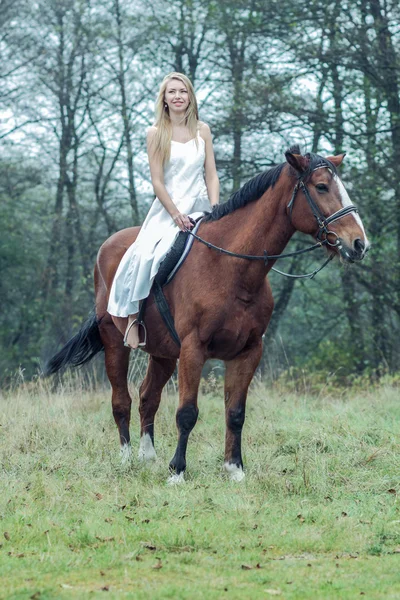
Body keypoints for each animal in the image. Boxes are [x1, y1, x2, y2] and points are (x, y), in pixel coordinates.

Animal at [46, 148, 368, 486]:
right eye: (321, 187)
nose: (359, 244)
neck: (232, 267)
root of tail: (108, 246)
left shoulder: (248, 351)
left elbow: (235, 413)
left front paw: (234, 469)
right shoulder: (193, 349)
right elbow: (187, 412)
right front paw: (177, 472)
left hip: (163, 352)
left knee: (148, 398)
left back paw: (148, 457)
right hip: (114, 342)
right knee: (122, 401)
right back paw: (126, 460)